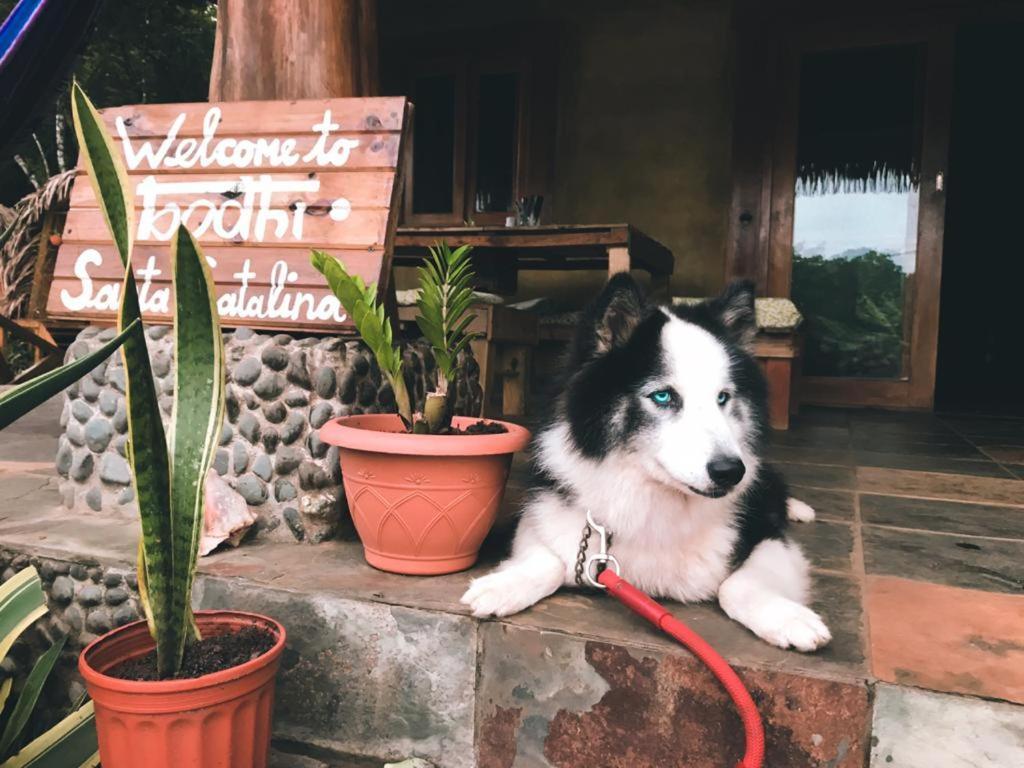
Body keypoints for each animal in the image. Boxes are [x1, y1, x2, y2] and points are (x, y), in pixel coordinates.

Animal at [464, 274, 831, 651]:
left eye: (723, 398)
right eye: (663, 396)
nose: (731, 472)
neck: (651, 495)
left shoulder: (766, 534)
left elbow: (734, 585)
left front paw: (786, 618)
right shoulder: (544, 518)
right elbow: (549, 558)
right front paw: (503, 586)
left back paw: (798, 509)